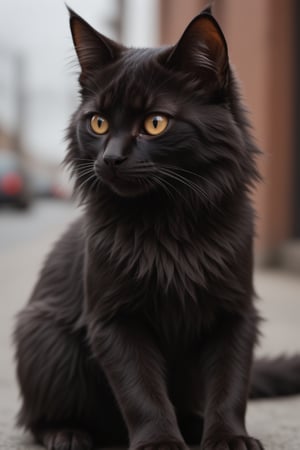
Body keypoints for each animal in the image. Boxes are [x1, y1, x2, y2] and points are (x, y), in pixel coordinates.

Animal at [14, 7, 300, 450]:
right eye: (98, 123)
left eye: (155, 123)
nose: (110, 159)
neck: (168, 222)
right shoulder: (115, 320)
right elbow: (142, 391)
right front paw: (160, 442)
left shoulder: (236, 314)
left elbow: (230, 385)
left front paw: (229, 437)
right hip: (44, 338)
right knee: (35, 418)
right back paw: (68, 433)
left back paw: (195, 425)